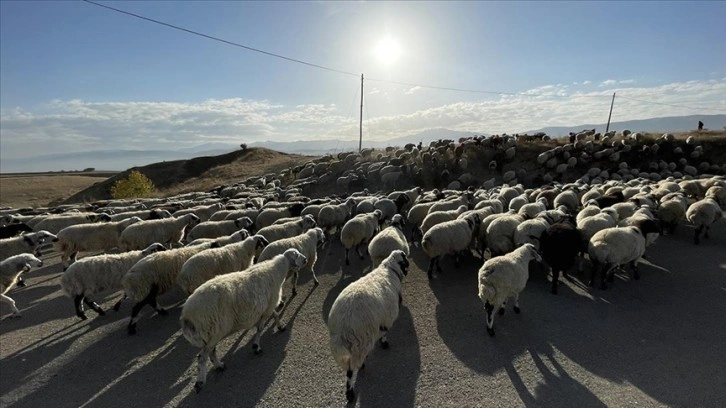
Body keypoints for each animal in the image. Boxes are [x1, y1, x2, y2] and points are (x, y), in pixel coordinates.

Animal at [182, 247, 310, 390]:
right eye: (296, 254)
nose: (306, 259)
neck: (278, 271)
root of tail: (187, 314)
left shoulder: (267, 306)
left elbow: (275, 315)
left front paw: (280, 326)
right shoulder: (268, 305)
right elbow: (260, 328)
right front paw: (256, 347)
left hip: (210, 334)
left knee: (210, 352)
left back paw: (219, 366)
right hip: (215, 330)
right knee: (202, 357)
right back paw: (201, 380)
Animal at [328, 249, 410, 402]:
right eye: (405, 259)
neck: (389, 270)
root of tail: (343, 324)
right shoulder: (386, 317)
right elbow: (384, 333)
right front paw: (384, 343)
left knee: (349, 370)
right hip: (361, 340)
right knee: (351, 370)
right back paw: (351, 391)